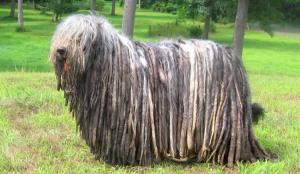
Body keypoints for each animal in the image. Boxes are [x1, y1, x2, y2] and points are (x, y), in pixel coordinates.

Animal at [49, 14, 270, 166]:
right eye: (62, 35)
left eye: (79, 38)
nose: (61, 50)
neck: (111, 63)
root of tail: (232, 58)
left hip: (222, 116)